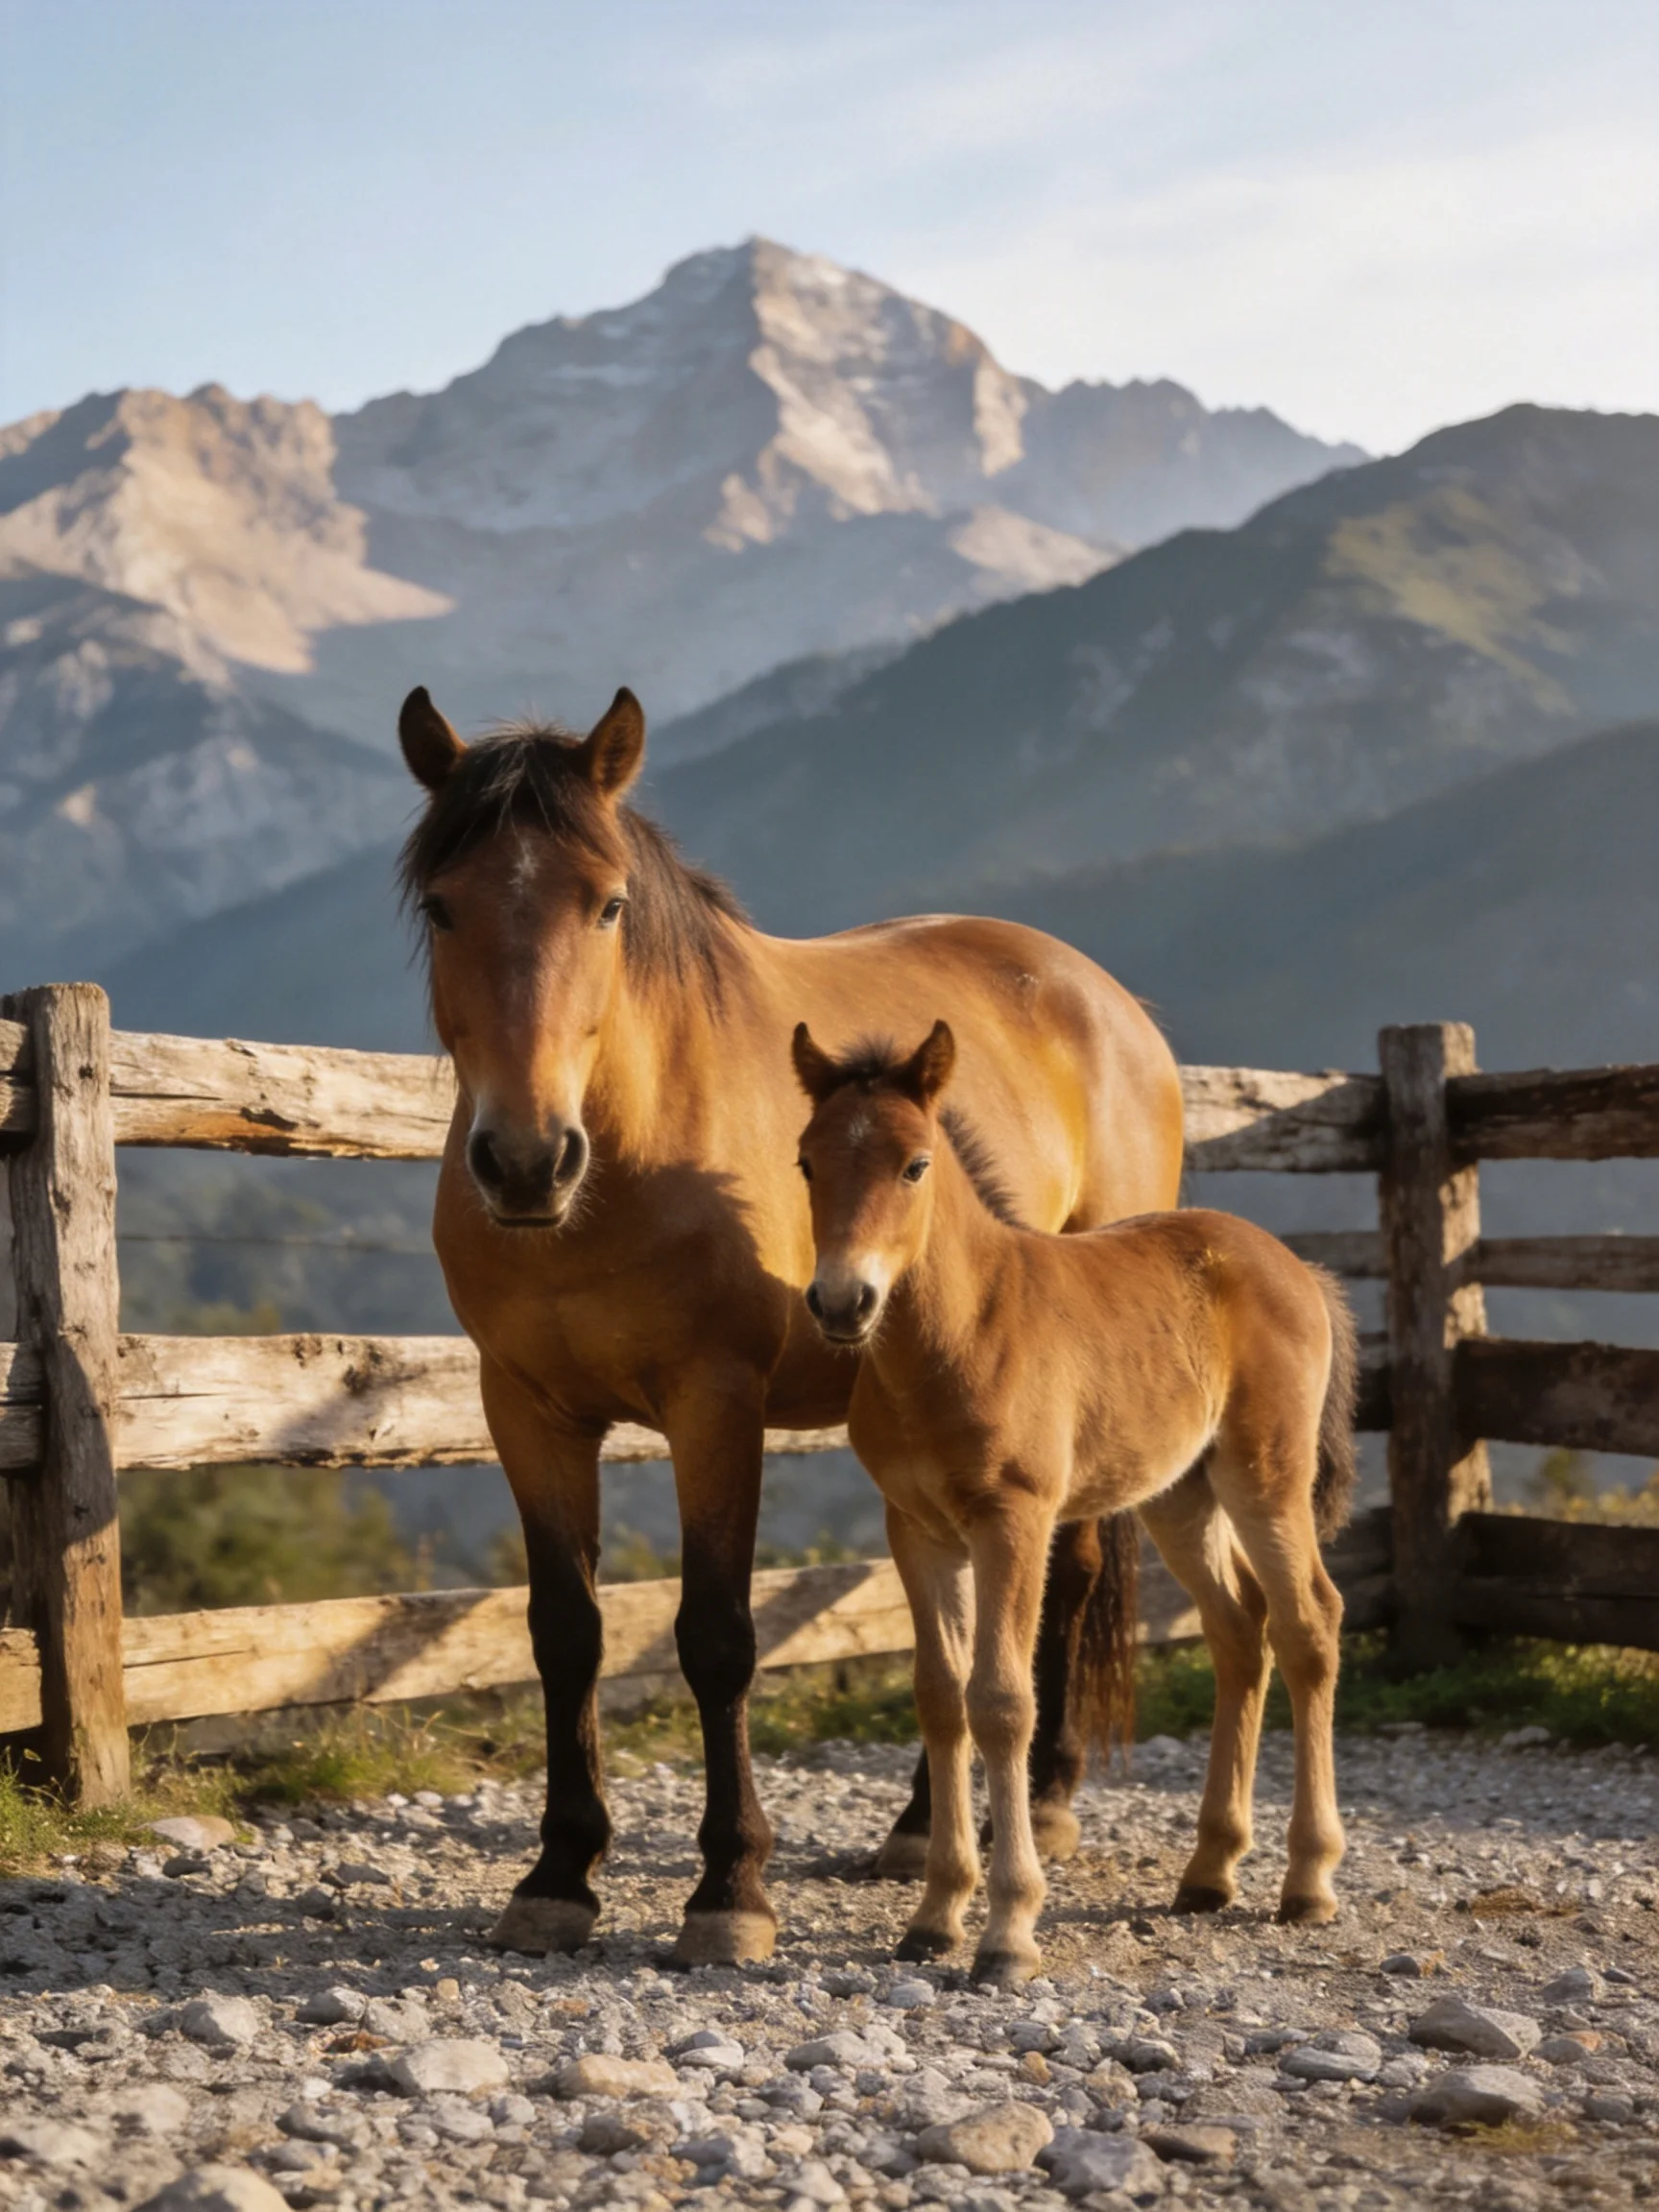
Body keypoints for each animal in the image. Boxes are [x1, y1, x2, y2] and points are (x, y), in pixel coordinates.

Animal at [396, 683, 1184, 1966]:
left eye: (608, 903)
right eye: (442, 903)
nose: (524, 1160)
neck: (628, 1161)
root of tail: (1104, 1000)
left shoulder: (717, 1407)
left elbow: (717, 1634)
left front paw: (730, 1889)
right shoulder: (525, 1407)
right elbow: (565, 1631)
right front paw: (560, 1873)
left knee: (1059, 1580)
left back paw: (1045, 1804)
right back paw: (921, 1830)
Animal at [792, 1019, 1358, 1985]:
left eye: (914, 1165)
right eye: (804, 1161)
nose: (841, 1301)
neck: (955, 1335)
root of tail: (1297, 1266)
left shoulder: (1013, 1521)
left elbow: (1001, 1702)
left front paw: (1008, 1931)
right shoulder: (916, 1529)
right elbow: (940, 1697)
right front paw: (934, 1916)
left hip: (1264, 1477)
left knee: (1309, 1622)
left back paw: (1309, 1882)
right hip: (1179, 1495)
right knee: (1238, 1630)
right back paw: (1209, 1871)